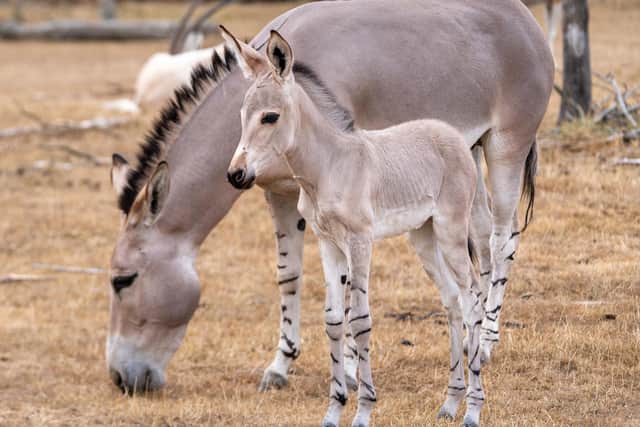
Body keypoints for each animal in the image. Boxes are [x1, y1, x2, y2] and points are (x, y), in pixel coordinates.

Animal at [107, 0, 553, 396]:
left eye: (123, 280)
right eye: (240, 117)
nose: (120, 379)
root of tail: (524, 15)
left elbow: (346, 285)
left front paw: (352, 371)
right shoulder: (280, 194)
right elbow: (288, 275)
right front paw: (280, 365)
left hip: (506, 146)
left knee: (502, 238)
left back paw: (489, 341)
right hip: (467, 155)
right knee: (479, 238)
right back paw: (474, 336)